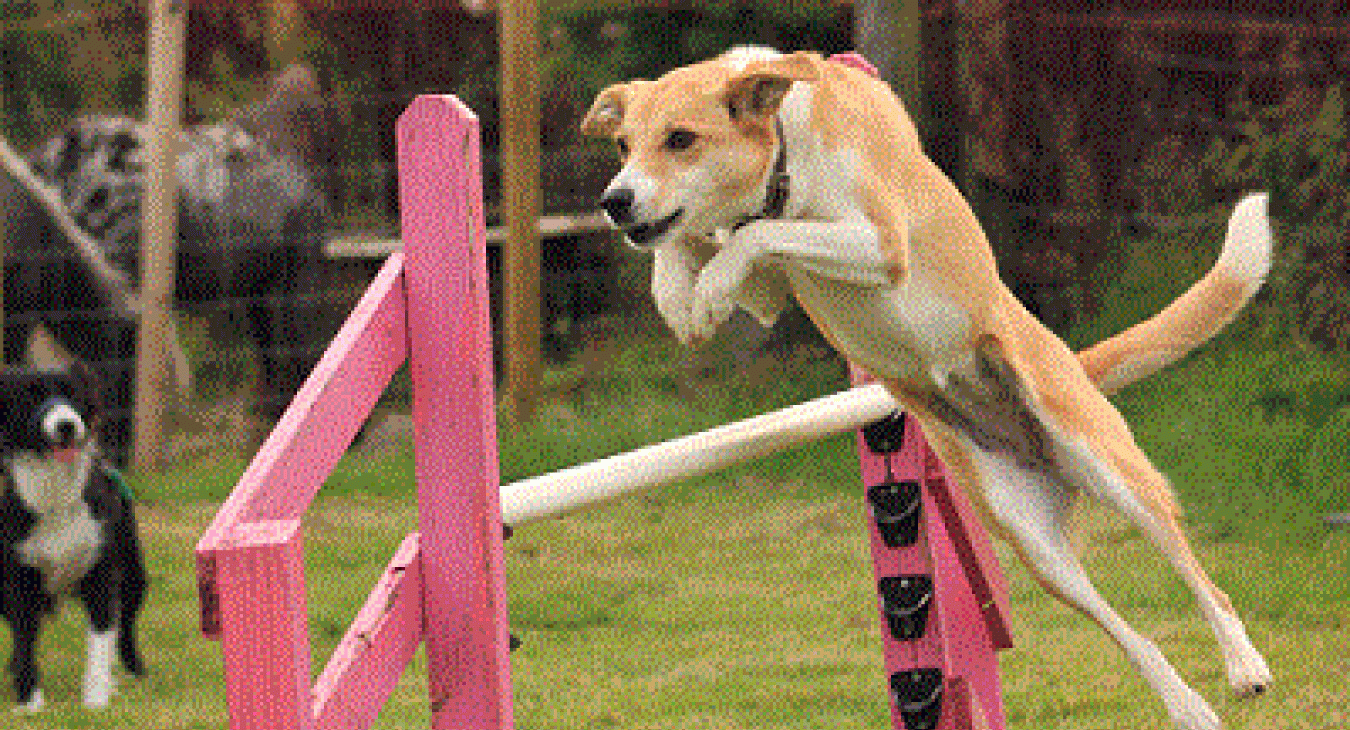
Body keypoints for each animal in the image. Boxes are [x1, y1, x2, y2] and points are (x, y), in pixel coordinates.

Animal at [0, 367, 145, 707]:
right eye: (32, 395)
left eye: (72, 394)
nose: (66, 425)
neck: (56, 493)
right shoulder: (19, 577)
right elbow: (24, 640)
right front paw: (29, 702)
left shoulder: (101, 571)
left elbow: (100, 639)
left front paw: (96, 699)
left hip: (133, 573)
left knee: (125, 627)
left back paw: (132, 672)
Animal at [583, 46, 1274, 728]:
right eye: (622, 145)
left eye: (681, 139)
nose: (614, 201)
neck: (785, 159)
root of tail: (1073, 363)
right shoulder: (768, 293)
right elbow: (694, 245)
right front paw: (682, 298)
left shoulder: (877, 242)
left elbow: (757, 235)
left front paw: (702, 288)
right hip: (1035, 544)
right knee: (1132, 636)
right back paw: (1187, 707)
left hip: (1111, 469)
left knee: (1201, 580)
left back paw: (1244, 667)